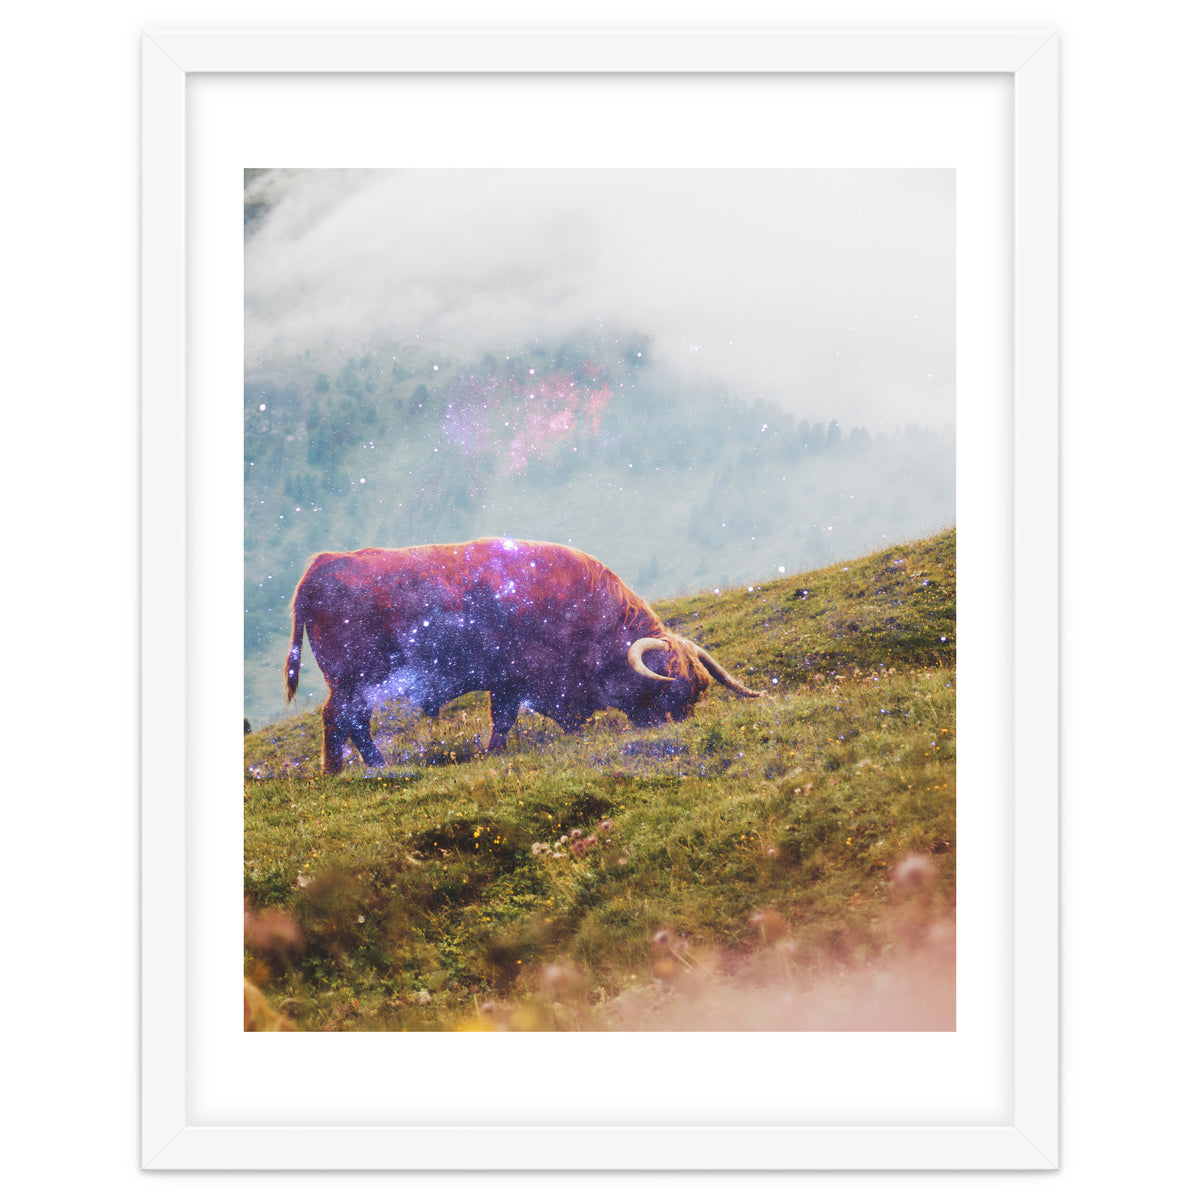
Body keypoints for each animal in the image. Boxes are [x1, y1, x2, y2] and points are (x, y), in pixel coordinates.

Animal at [283, 538, 762, 773]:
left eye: (697, 688)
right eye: (671, 688)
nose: (677, 727)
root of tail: (321, 565)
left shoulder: (510, 682)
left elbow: (506, 717)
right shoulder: (521, 677)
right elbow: (509, 717)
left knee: (347, 721)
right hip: (355, 679)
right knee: (343, 719)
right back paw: (361, 768)